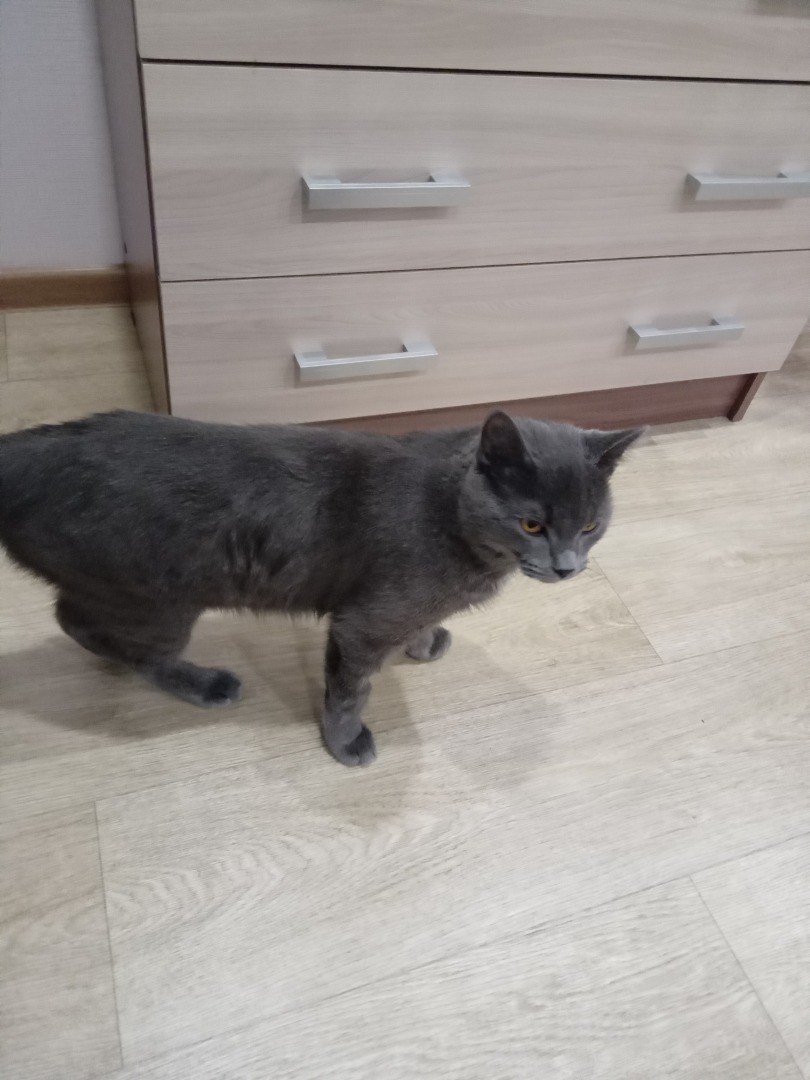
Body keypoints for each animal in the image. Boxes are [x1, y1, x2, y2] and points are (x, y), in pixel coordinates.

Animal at [0, 409, 641, 766]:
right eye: (532, 524)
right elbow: (349, 691)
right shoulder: (363, 623)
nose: (566, 566)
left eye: (590, 525)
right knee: (102, 633)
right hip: (159, 597)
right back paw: (204, 683)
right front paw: (345, 742)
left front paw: (424, 641)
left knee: (72, 615)